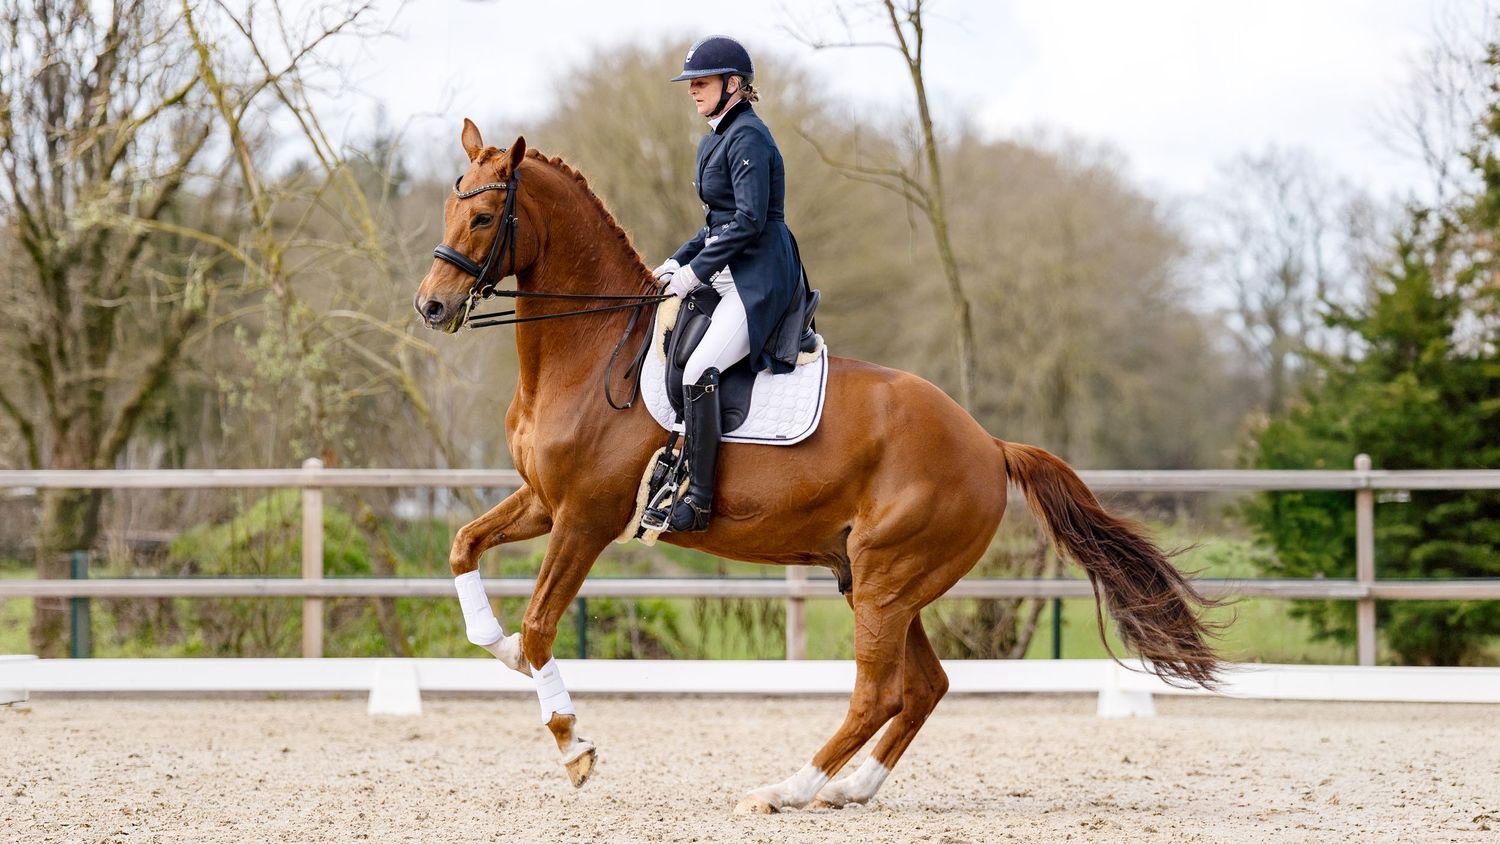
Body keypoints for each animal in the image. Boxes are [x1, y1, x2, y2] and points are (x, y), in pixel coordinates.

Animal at [413, 119, 1221, 814]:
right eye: (450, 202)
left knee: (880, 693)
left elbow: (541, 624)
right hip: (876, 578)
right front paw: (500, 650)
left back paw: (787, 789)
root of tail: (987, 443)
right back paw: (849, 788)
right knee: (924, 686)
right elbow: (462, 548)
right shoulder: (544, 501)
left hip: (888, 577)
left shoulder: (585, 517)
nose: (430, 307)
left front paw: (573, 745)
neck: (590, 347)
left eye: (483, 219)